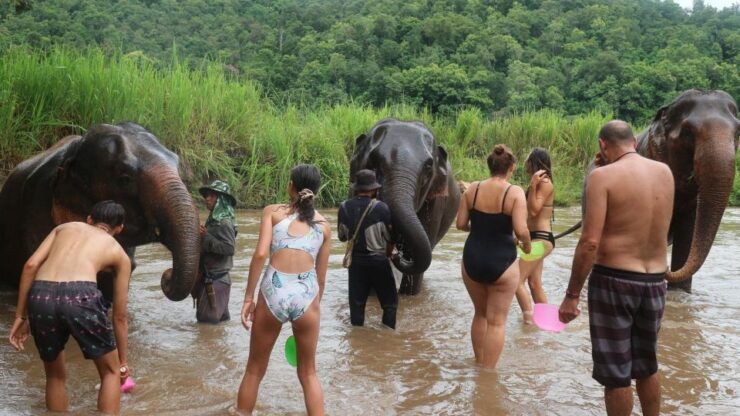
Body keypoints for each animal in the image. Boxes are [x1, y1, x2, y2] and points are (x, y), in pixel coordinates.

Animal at [349, 119, 461, 295]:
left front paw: (408, 295)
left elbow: (413, 250)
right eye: (374, 160)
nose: (396, 254)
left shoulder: (435, 203)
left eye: (428, 167)